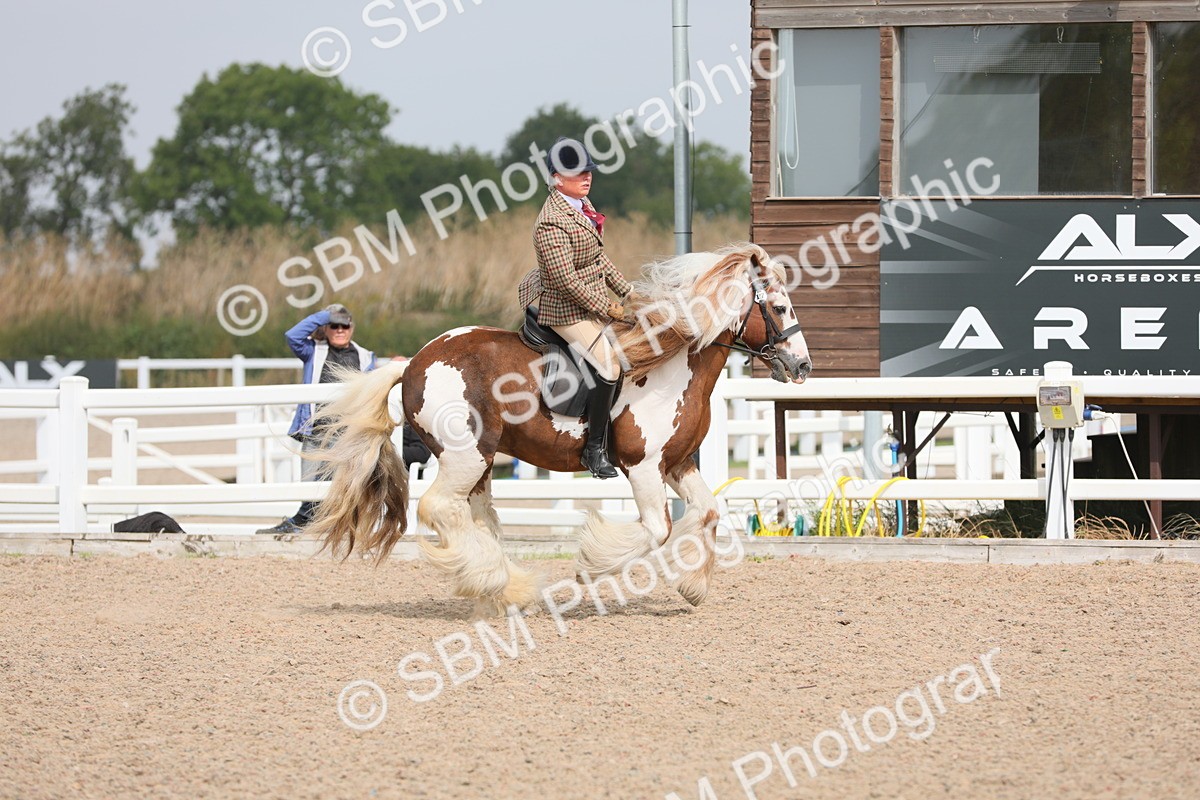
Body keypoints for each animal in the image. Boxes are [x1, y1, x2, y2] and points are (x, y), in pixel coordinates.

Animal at [305, 243, 811, 616]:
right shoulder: (643, 466)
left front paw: (693, 589)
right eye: (780, 307)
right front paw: (590, 566)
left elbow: (706, 512)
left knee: (476, 518)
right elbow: (657, 528)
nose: (802, 366)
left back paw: (504, 590)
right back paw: (497, 582)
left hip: (481, 463)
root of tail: (413, 363)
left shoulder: (677, 463)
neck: (670, 365)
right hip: (466, 456)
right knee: (438, 508)